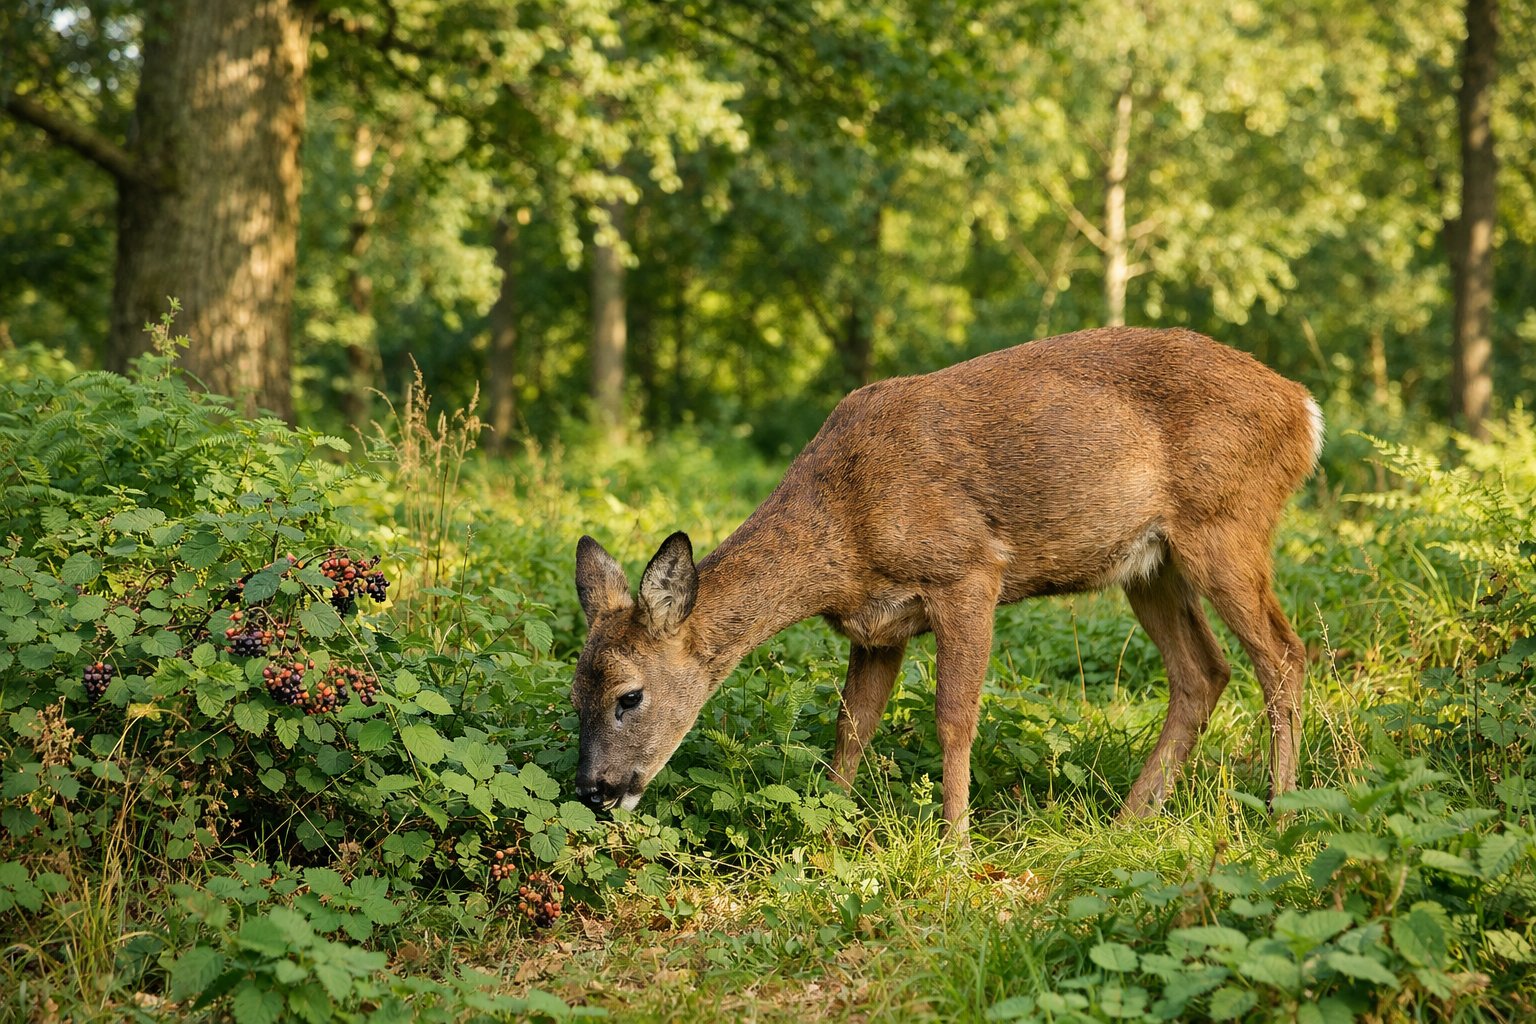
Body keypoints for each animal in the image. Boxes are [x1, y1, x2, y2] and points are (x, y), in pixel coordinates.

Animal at [569, 326, 1324, 837]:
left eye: (630, 696)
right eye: (575, 694)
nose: (594, 791)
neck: (844, 528)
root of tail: (1304, 409)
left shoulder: (967, 572)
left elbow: (954, 718)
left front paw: (955, 845)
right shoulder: (876, 628)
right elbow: (852, 724)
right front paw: (826, 825)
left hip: (1226, 523)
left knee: (1283, 655)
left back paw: (1281, 818)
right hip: (1149, 565)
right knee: (1204, 672)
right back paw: (1126, 821)